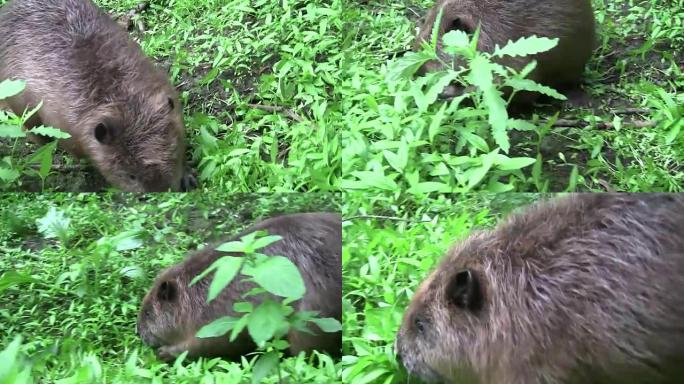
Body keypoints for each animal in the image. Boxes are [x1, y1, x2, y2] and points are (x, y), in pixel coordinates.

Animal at [136, 212, 342, 362]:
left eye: (148, 313)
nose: (140, 334)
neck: (199, 288)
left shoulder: (222, 316)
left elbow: (210, 343)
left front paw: (164, 352)